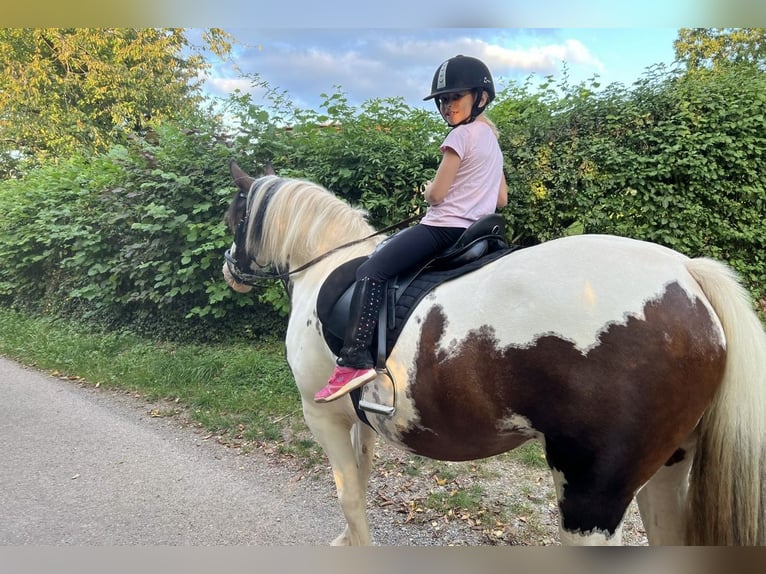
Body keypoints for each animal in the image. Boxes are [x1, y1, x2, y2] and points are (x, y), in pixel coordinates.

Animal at [222, 163, 766, 548]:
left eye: (235, 216)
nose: (229, 268)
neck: (326, 265)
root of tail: (688, 274)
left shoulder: (323, 417)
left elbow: (349, 492)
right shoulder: (359, 418)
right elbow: (361, 480)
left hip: (591, 493)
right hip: (669, 467)